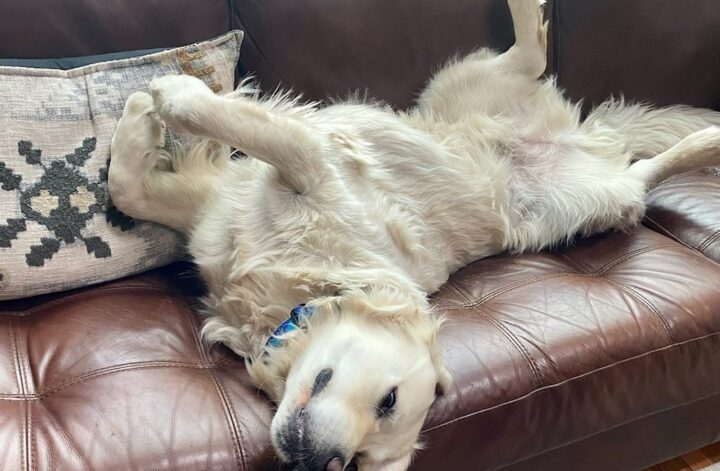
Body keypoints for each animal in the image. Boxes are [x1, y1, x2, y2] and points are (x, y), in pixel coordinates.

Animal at [108, 1, 720, 470]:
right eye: (389, 400)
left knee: (640, 167)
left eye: (360, 459)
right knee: (530, 57)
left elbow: (195, 137)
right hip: (457, 90)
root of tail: (578, 139)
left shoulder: (308, 161)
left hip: (598, 199)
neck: (298, 294)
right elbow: (127, 185)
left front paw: (161, 92)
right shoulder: (245, 196)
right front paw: (144, 102)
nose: (322, 462)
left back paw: (706, 142)